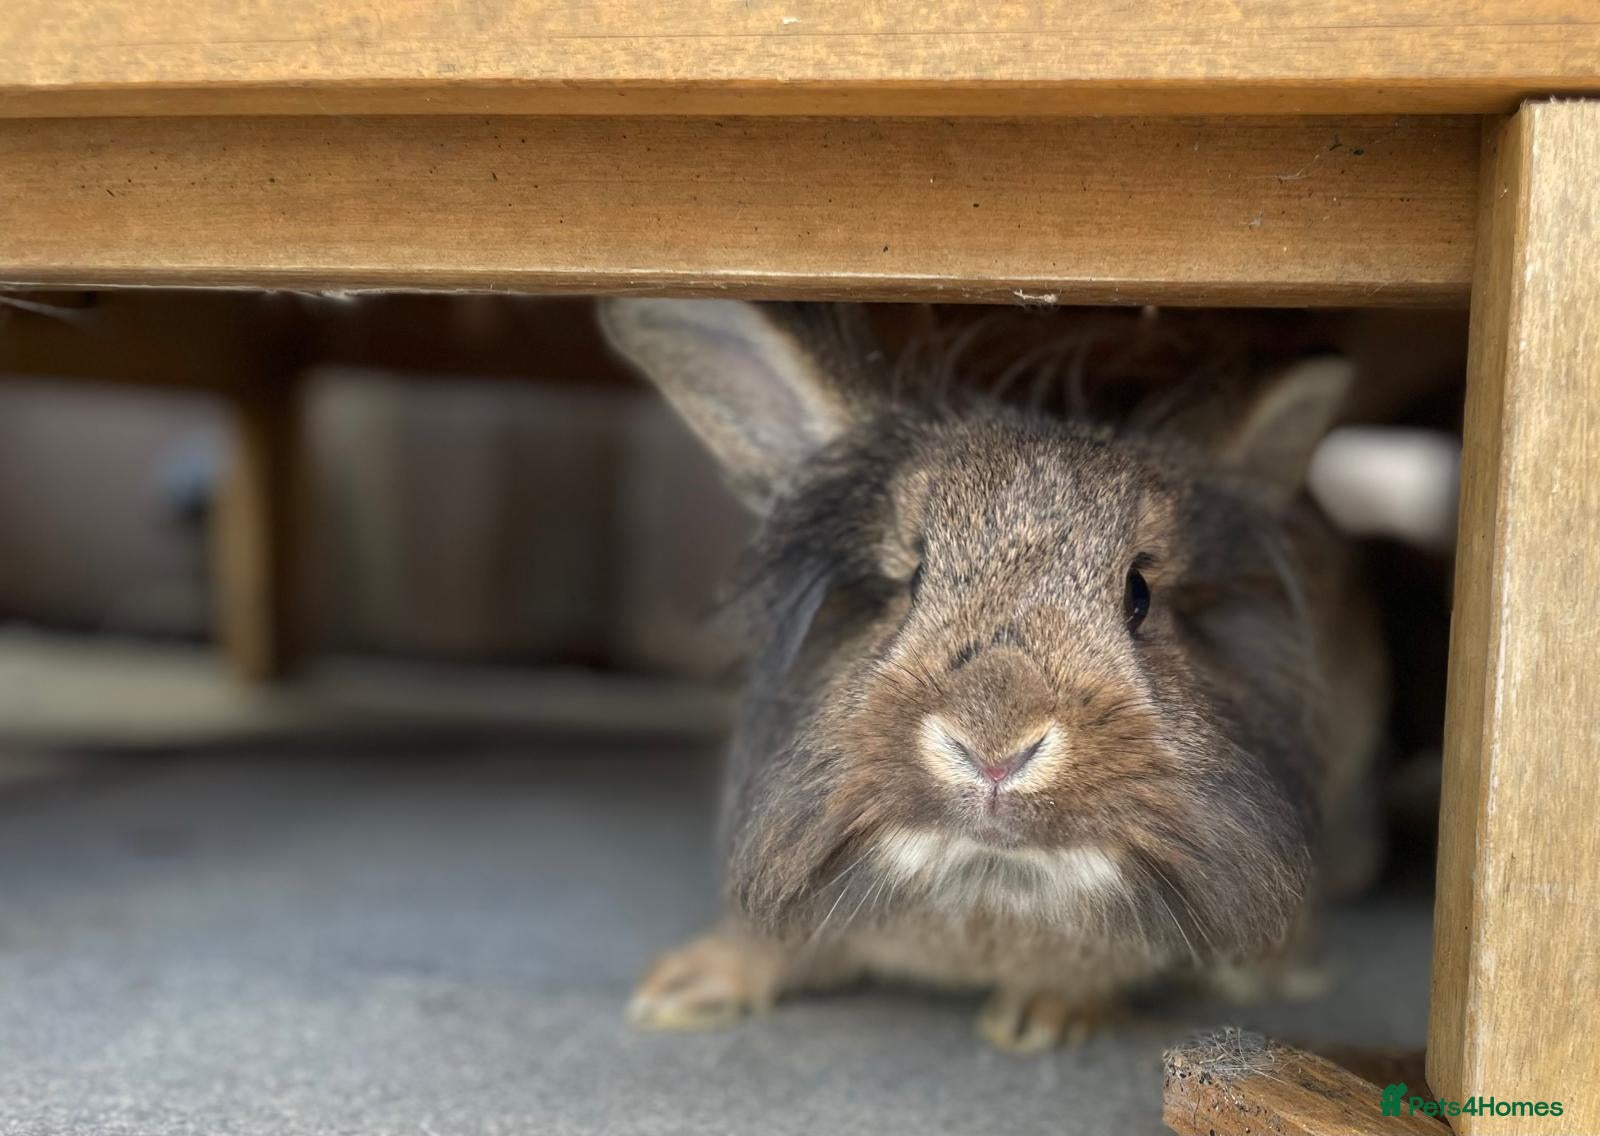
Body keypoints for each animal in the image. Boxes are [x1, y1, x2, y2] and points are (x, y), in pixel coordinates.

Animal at [600, 299, 1387, 1052]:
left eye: (1139, 595)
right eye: (910, 580)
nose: (994, 749)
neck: (990, 880)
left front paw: (1042, 1017)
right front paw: (684, 987)